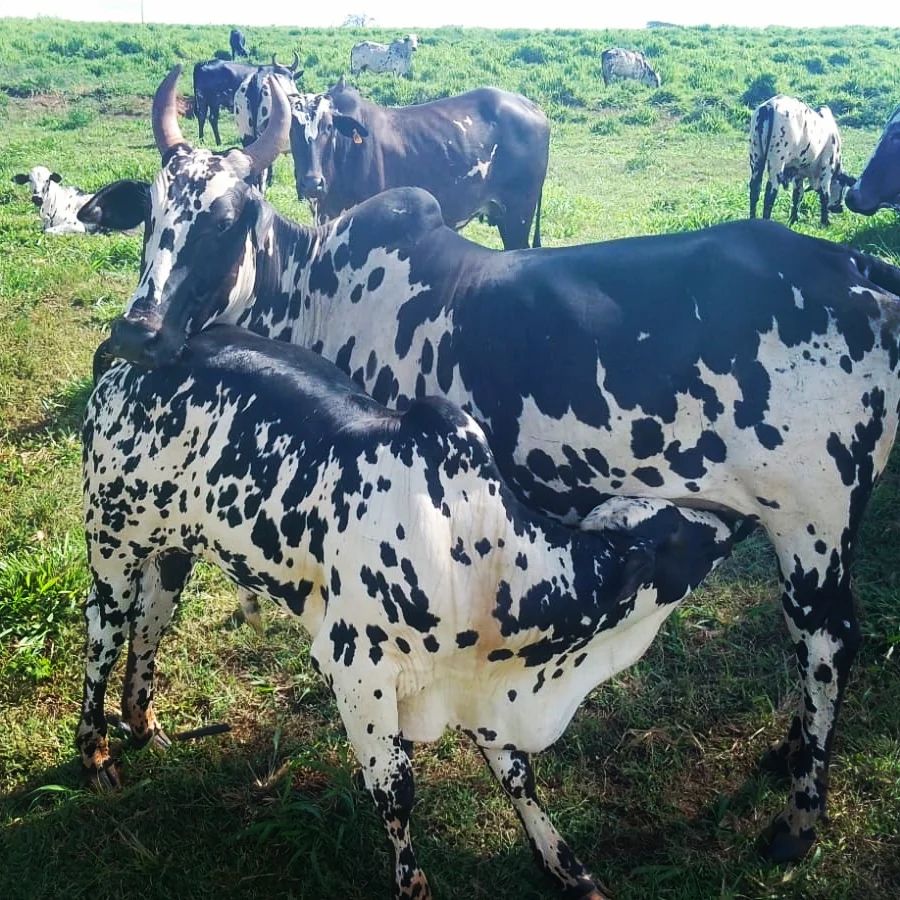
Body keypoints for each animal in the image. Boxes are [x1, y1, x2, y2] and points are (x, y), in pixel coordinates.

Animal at [81, 324, 744, 900]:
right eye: (679, 536)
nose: (732, 520)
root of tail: (127, 350)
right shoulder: (355, 673)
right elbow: (396, 792)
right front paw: (414, 885)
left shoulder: (482, 687)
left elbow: (518, 774)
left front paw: (564, 864)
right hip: (112, 548)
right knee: (102, 641)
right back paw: (96, 755)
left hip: (173, 553)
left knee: (148, 629)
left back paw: (143, 724)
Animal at [744, 93, 856, 227]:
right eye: (843, 187)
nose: (838, 209)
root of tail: (769, 106)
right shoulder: (827, 169)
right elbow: (825, 196)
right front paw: (825, 222)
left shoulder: (798, 174)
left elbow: (797, 196)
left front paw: (793, 219)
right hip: (777, 160)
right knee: (770, 192)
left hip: (756, 156)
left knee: (755, 188)